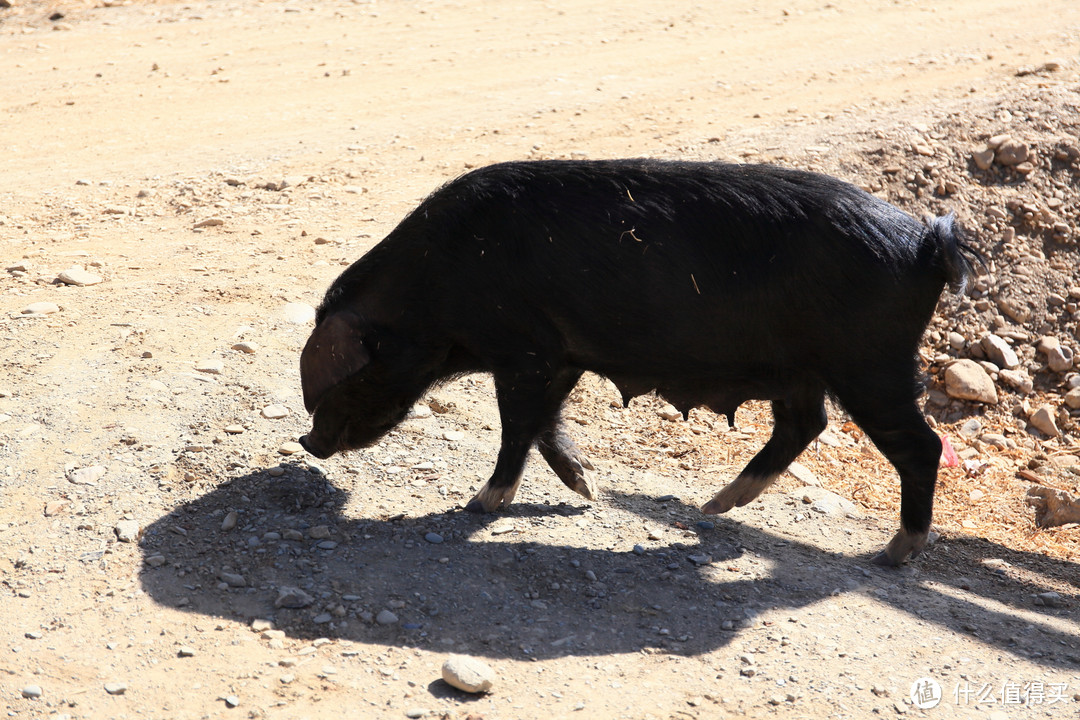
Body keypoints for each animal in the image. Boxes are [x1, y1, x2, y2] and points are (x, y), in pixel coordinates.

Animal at [298, 158, 980, 569]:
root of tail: (927, 244)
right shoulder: (559, 354)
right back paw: (710, 508)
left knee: (918, 444)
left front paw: (479, 506)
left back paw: (891, 554)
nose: (308, 443)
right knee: (803, 425)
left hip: (870, 363)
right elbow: (545, 425)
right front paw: (589, 489)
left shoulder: (524, 349)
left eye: (340, 383)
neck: (432, 288)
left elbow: (517, 427)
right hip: (802, 370)